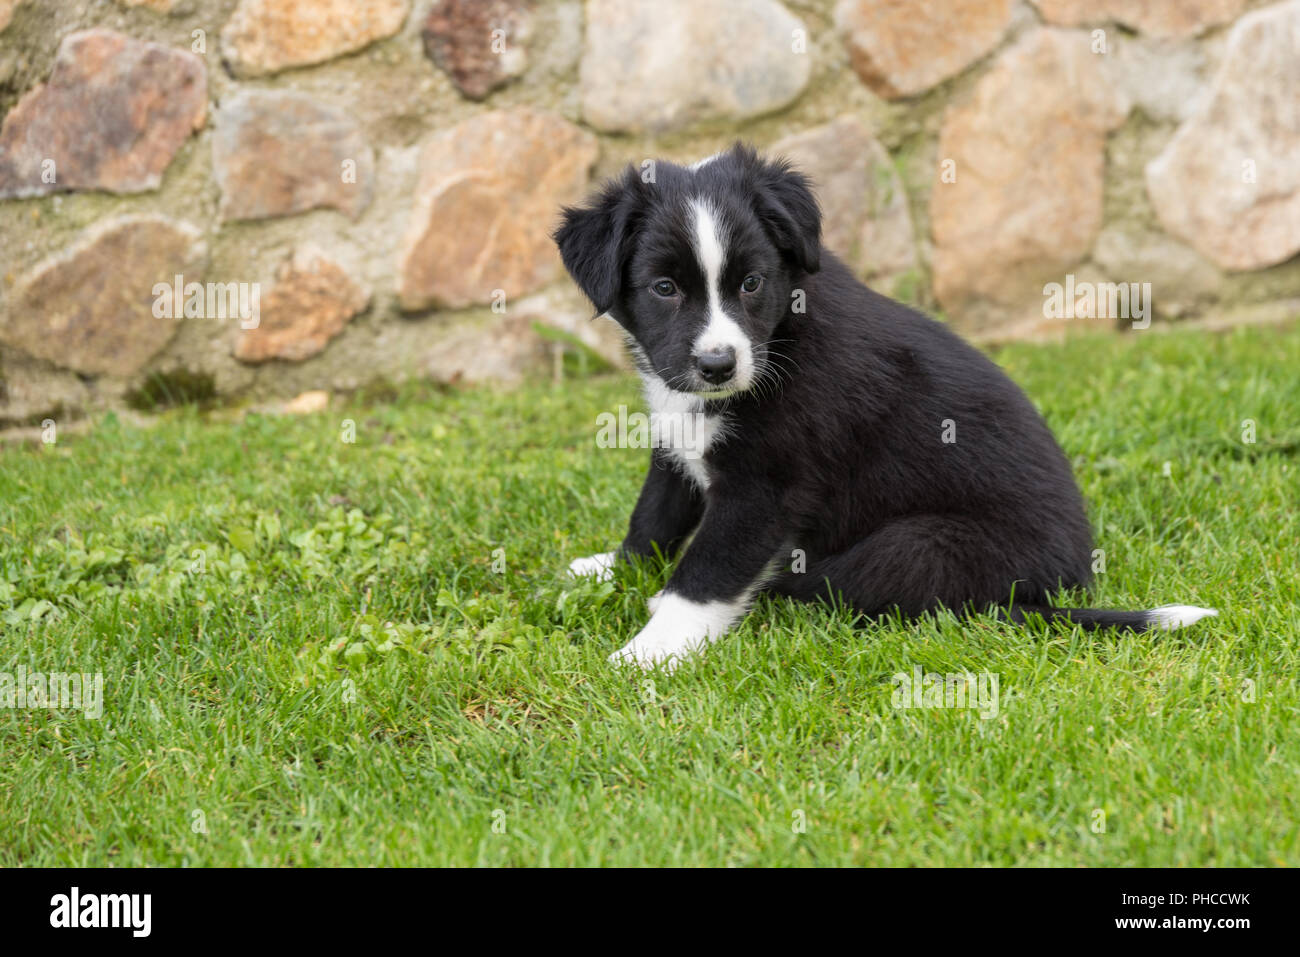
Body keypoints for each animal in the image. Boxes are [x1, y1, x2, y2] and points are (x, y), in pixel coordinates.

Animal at [553, 145, 1211, 670]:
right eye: (664, 288)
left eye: (751, 283)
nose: (718, 365)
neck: (780, 338)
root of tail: (1071, 580)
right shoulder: (678, 439)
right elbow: (654, 517)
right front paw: (612, 568)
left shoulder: (766, 487)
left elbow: (707, 571)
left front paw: (649, 650)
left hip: (918, 545)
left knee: (841, 587)